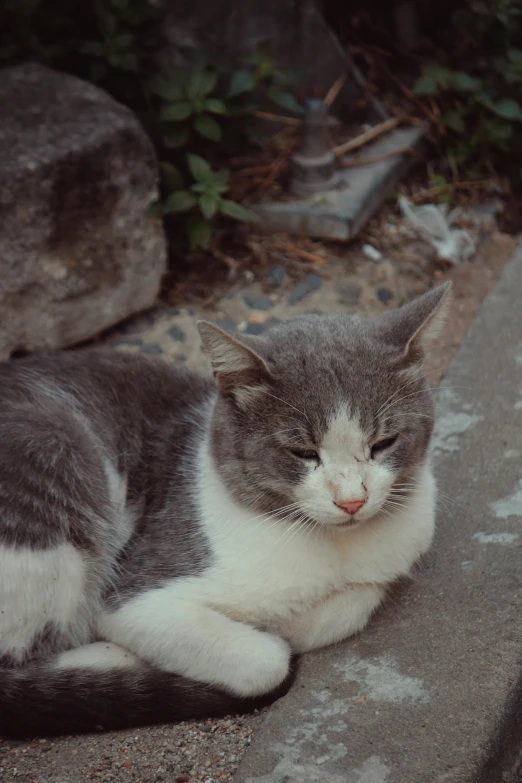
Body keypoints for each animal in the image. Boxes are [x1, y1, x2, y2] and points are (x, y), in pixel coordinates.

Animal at [0, 284, 446, 740]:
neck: (332, 549)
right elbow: (266, 661)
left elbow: (360, 598)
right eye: (303, 452)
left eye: (383, 443)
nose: (352, 500)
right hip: (54, 460)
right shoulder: (136, 595)